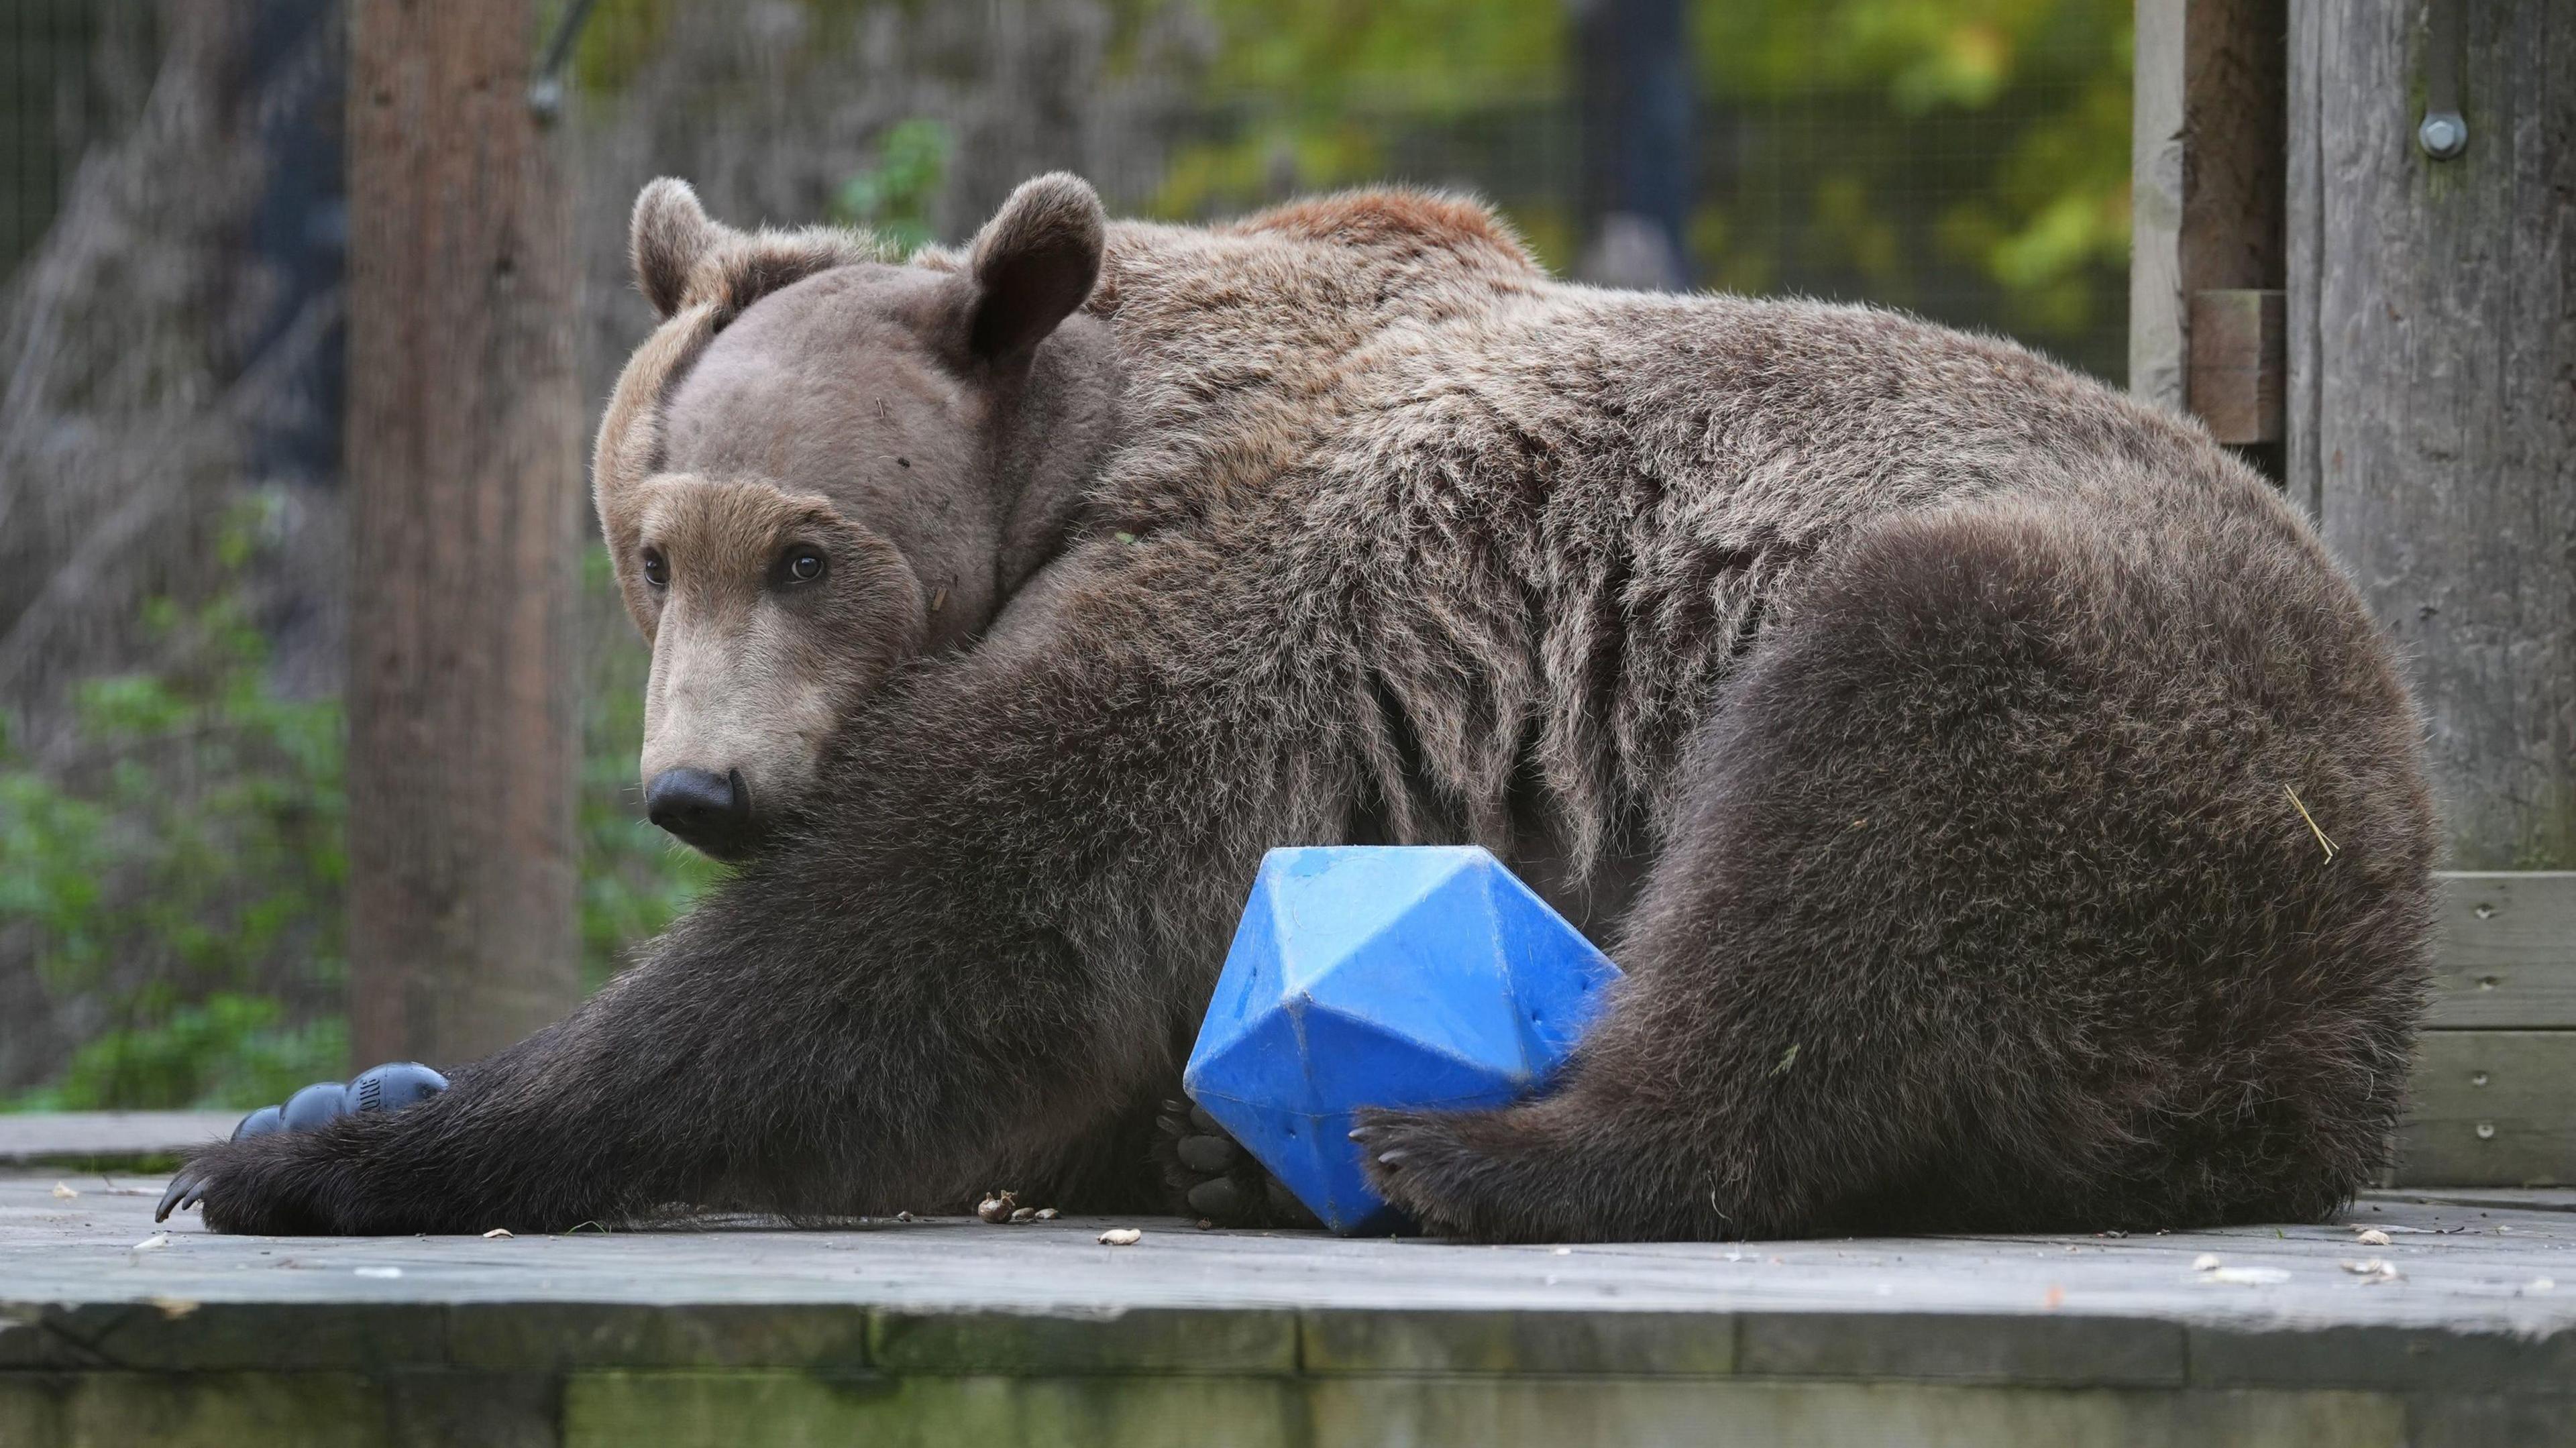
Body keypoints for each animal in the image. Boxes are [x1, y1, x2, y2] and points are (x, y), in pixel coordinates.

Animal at [161, 166, 2431, 1226]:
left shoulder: (1249, 607)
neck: (1071, 447)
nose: (697, 790)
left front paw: (333, 1154)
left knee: (1853, 833)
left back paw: (1474, 1151)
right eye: (650, 542)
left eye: (805, 550)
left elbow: (931, 937)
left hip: (2113, 695)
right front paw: (326, 1099)